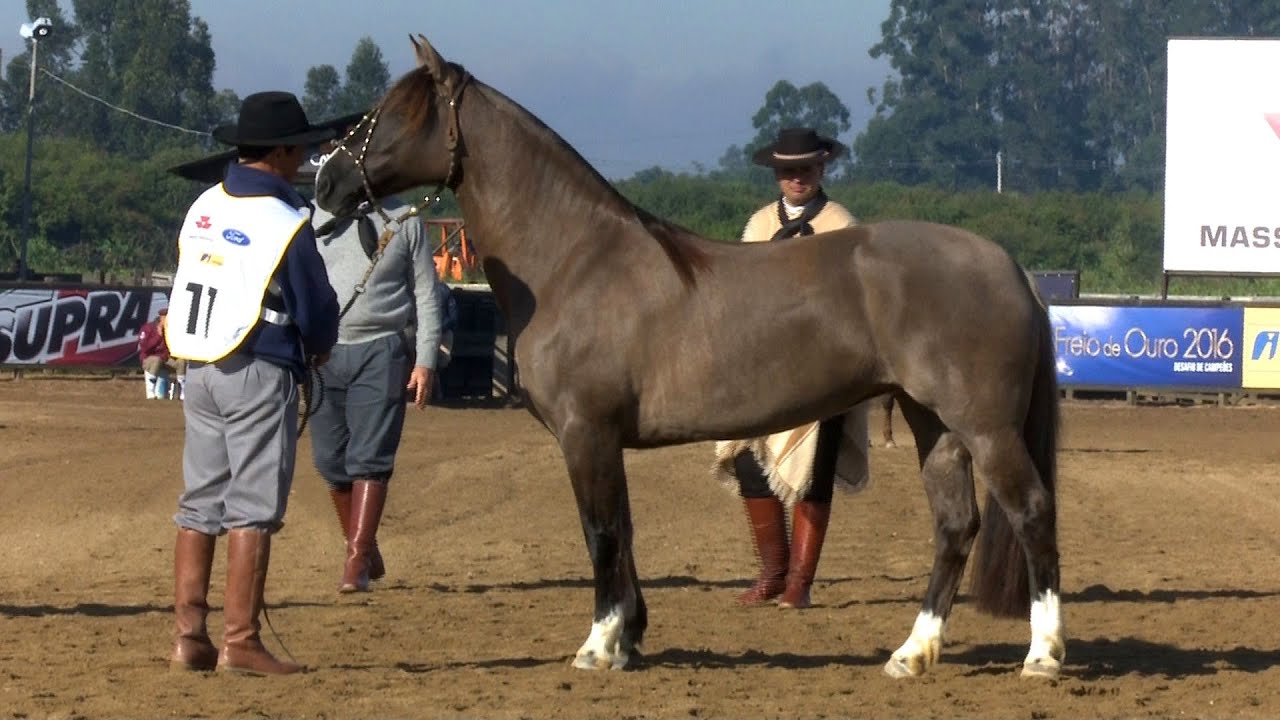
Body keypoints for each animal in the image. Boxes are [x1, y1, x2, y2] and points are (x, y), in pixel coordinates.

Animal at [314, 33, 1064, 676]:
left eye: (395, 113)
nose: (327, 185)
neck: (574, 260)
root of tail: (1008, 265)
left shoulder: (586, 433)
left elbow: (601, 532)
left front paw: (599, 645)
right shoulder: (604, 440)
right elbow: (624, 531)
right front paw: (630, 638)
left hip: (984, 428)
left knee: (1031, 511)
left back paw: (1043, 655)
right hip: (934, 423)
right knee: (955, 526)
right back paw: (912, 654)